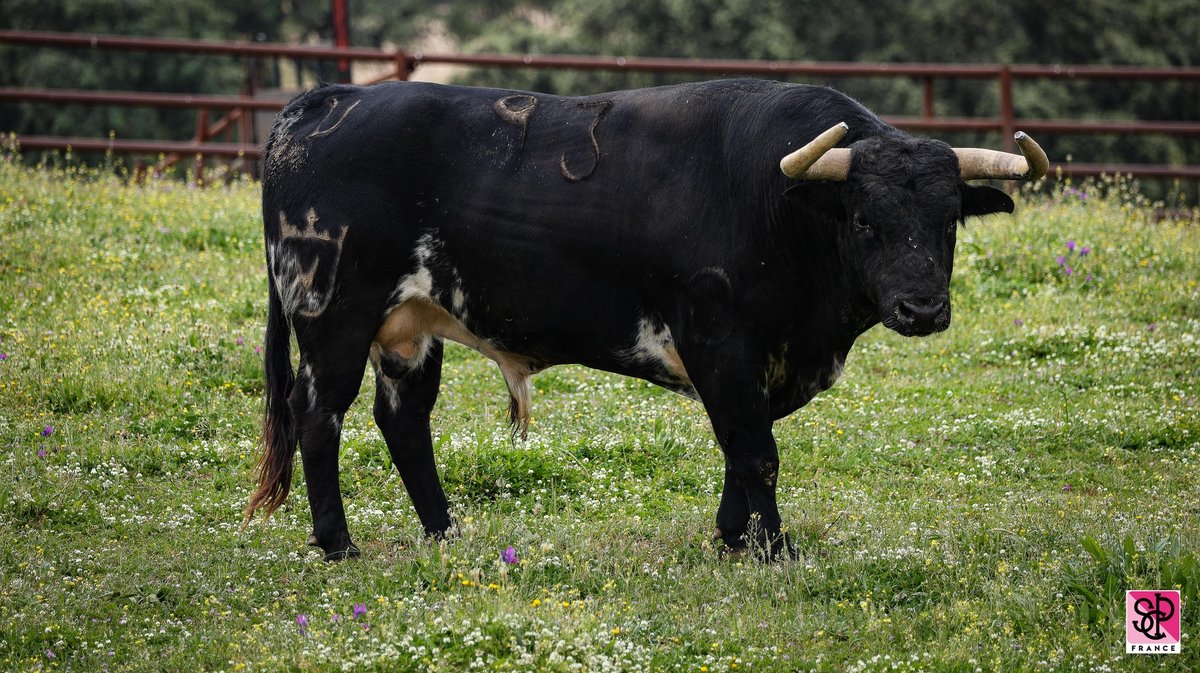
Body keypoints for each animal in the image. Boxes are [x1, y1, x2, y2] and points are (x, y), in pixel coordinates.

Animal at [241, 78, 1041, 559]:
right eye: (867, 220)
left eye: (948, 222)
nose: (922, 308)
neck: (777, 204)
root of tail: (330, 98)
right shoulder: (721, 342)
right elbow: (756, 452)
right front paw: (773, 549)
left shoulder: (758, 365)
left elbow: (739, 448)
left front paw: (731, 538)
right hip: (333, 315)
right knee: (318, 415)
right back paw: (338, 543)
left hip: (411, 326)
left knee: (403, 419)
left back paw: (446, 531)